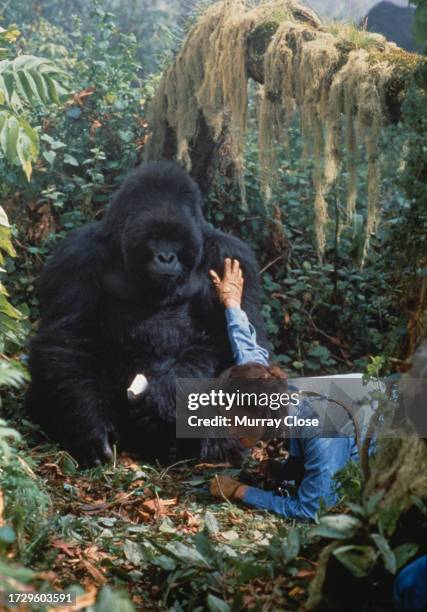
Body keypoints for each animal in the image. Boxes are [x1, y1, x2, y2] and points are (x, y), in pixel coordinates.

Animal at [25, 160, 268, 466]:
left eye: (175, 239)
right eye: (156, 238)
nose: (166, 257)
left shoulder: (232, 255)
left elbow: (232, 340)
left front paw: (167, 395)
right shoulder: (75, 256)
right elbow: (65, 337)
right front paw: (89, 427)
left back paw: (214, 447)